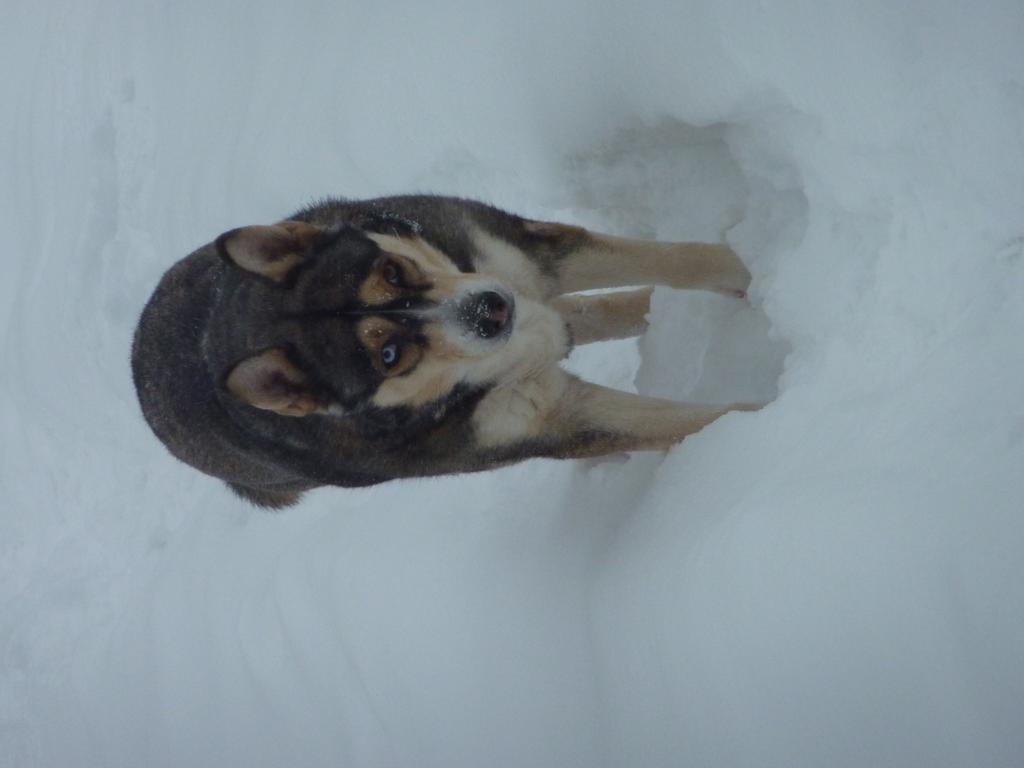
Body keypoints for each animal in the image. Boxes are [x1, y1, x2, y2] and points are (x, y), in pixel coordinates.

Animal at [132, 196, 753, 512]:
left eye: (392, 271)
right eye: (389, 354)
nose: (489, 311)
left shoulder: (515, 256)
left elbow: (683, 259)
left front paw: (751, 270)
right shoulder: (548, 419)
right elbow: (698, 422)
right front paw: (768, 429)